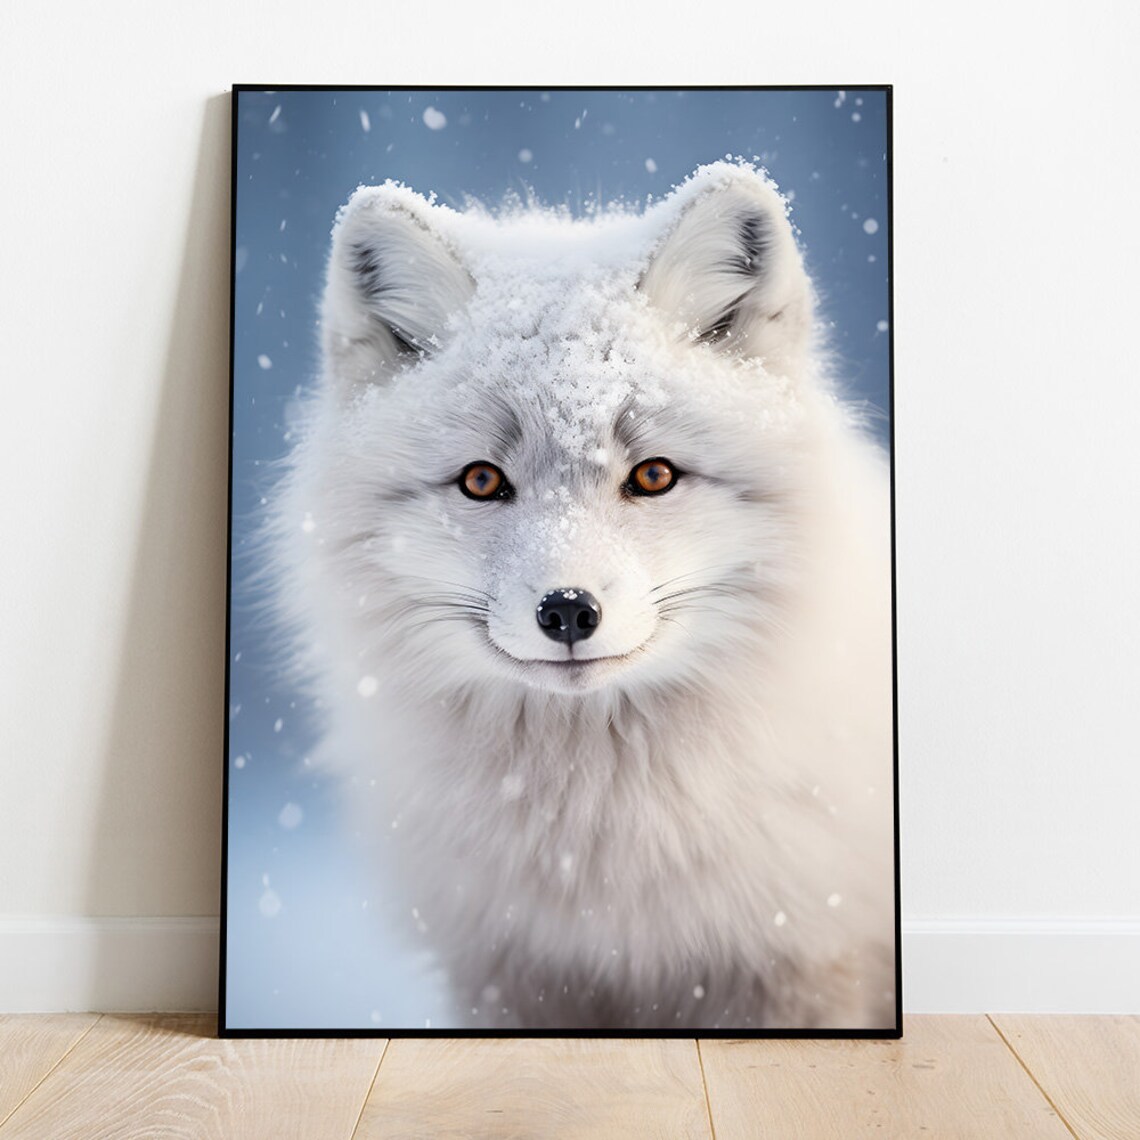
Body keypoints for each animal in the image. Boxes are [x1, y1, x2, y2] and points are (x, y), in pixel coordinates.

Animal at [275, 161, 897, 1030]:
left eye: (654, 475)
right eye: (481, 481)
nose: (568, 610)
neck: (597, 846)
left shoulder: (798, 968)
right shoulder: (512, 978)